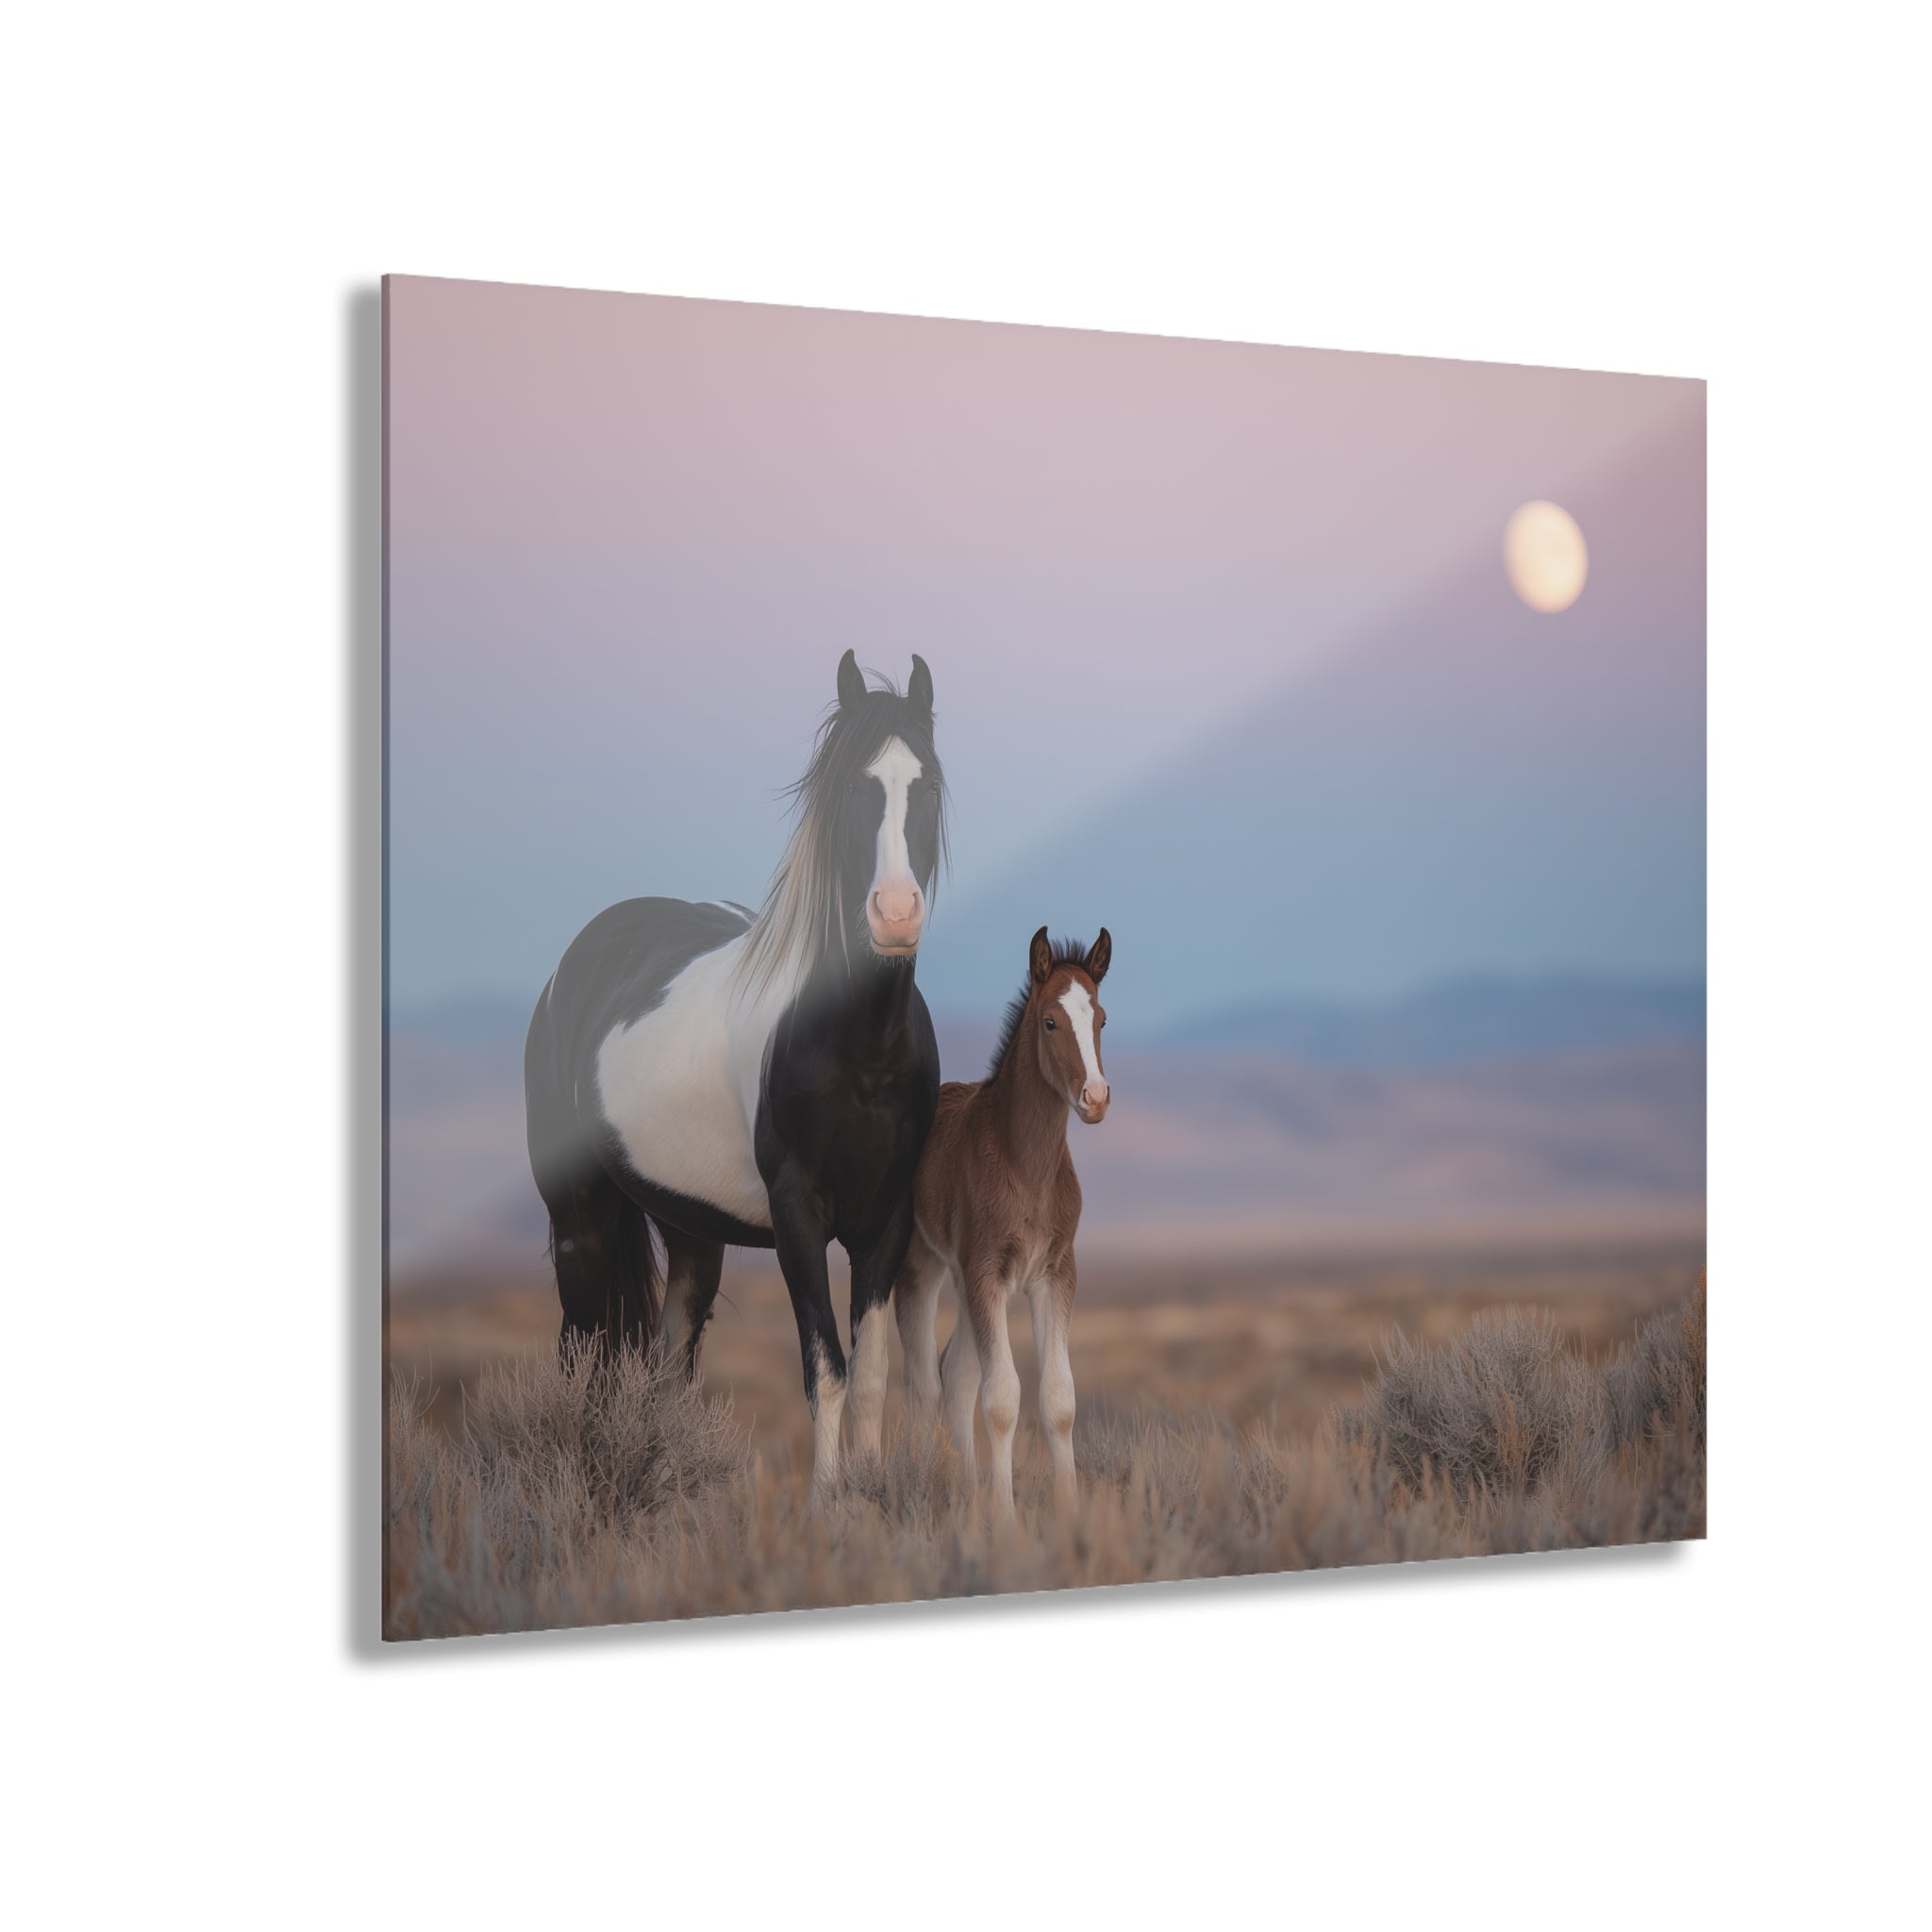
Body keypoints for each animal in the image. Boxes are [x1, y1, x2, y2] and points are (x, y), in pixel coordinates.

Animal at [523, 649, 947, 1496]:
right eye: (853, 787)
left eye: (927, 785)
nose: (894, 915)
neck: (863, 1052)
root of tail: (573, 969)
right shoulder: (798, 1219)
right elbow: (826, 1370)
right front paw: (827, 1502)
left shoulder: (885, 1220)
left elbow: (871, 1375)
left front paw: (869, 1494)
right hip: (579, 1224)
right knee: (582, 1359)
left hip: (691, 1236)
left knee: (668, 1368)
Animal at [890, 925, 1112, 1521]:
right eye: (1050, 1021)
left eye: (1101, 1019)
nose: (1096, 1098)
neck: (1023, 1164)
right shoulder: (988, 1269)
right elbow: (1003, 1398)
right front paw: (1005, 1520)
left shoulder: (1052, 1273)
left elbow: (1057, 1398)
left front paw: (1068, 1514)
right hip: (921, 1269)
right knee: (922, 1380)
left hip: (966, 1282)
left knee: (956, 1375)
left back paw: (966, 1489)